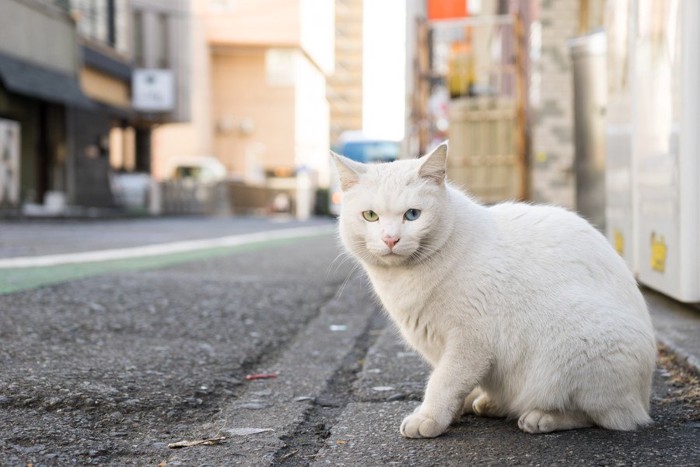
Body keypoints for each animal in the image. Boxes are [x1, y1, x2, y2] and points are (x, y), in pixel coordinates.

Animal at [332, 145, 656, 438]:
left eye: (412, 215)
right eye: (370, 216)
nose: (390, 239)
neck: (402, 280)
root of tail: (644, 397)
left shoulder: (470, 343)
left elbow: (443, 382)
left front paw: (429, 418)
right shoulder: (442, 345)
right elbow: (453, 383)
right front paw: (456, 409)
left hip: (583, 349)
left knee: (604, 416)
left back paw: (541, 418)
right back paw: (490, 403)